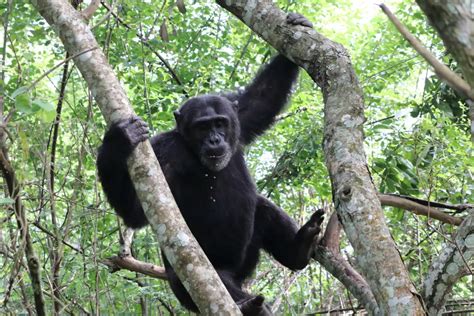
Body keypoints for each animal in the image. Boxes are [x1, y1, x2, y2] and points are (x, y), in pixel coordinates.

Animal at [97, 12, 324, 316]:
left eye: (219, 123)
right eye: (202, 127)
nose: (215, 139)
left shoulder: (240, 118)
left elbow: (261, 99)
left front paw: (298, 26)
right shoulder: (162, 153)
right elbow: (136, 211)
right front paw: (119, 139)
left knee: (262, 207)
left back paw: (300, 247)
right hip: (192, 281)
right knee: (213, 278)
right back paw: (246, 303)